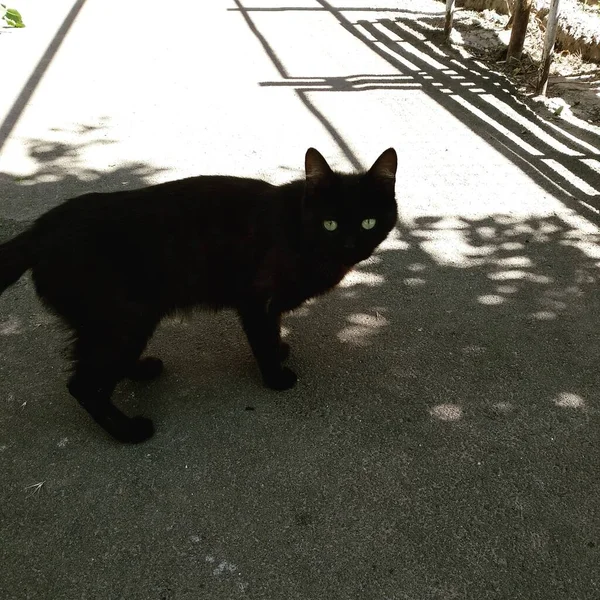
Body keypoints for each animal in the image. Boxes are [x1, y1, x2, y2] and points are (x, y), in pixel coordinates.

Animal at [0, 148, 398, 442]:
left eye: (368, 222)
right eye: (330, 223)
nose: (350, 246)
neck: (299, 231)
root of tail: (39, 229)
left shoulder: (268, 307)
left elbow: (273, 332)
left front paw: (280, 349)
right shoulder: (255, 302)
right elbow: (263, 340)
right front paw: (276, 377)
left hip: (124, 323)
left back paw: (143, 370)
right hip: (123, 320)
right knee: (83, 385)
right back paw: (129, 432)